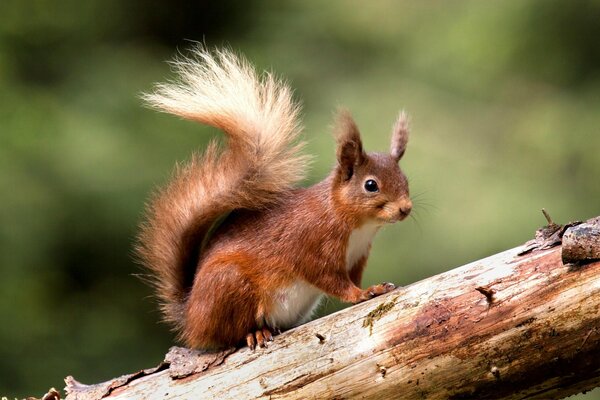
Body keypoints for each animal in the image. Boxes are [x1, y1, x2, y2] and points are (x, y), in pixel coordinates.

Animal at [138, 48, 410, 350]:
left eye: (405, 180)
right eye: (370, 185)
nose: (406, 209)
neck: (356, 224)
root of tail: (191, 319)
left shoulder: (358, 256)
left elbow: (353, 277)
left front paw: (375, 287)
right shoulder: (311, 243)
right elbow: (331, 279)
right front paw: (362, 293)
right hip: (230, 284)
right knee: (230, 334)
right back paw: (255, 333)